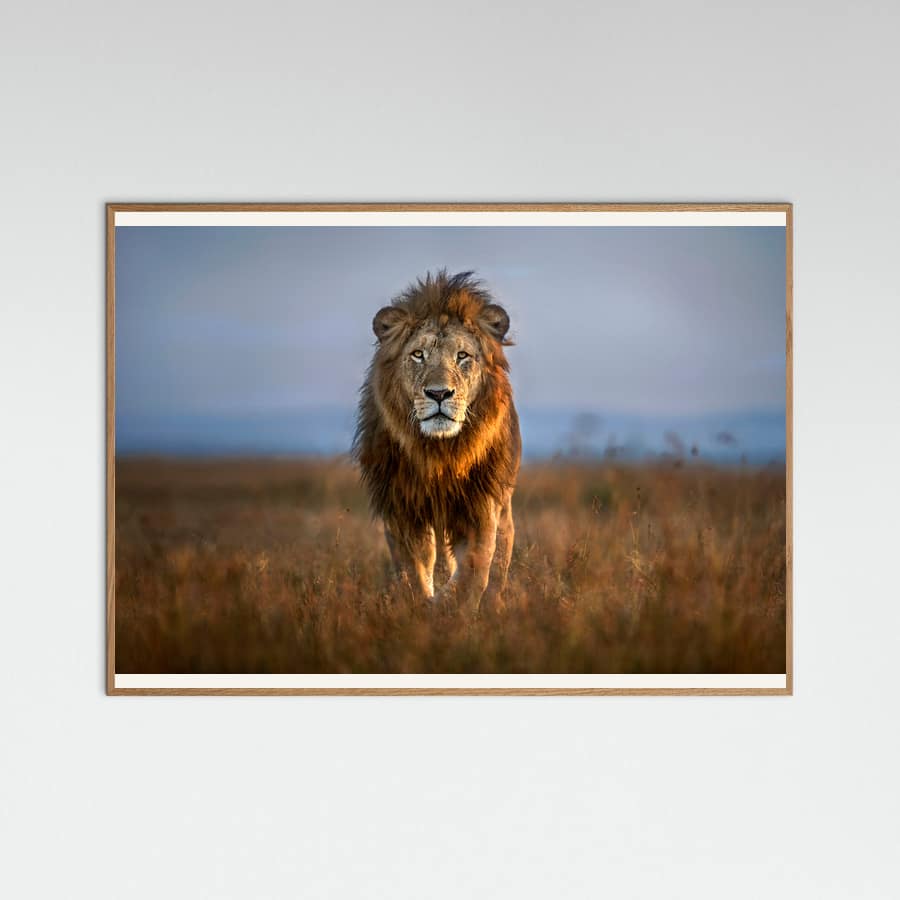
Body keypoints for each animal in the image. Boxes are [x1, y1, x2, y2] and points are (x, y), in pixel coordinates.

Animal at [353, 270, 521, 612]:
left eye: (462, 356)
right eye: (418, 354)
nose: (439, 393)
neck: (440, 452)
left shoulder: (481, 505)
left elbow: (474, 569)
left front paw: (450, 608)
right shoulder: (402, 508)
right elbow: (413, 570)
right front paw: (422, 607)